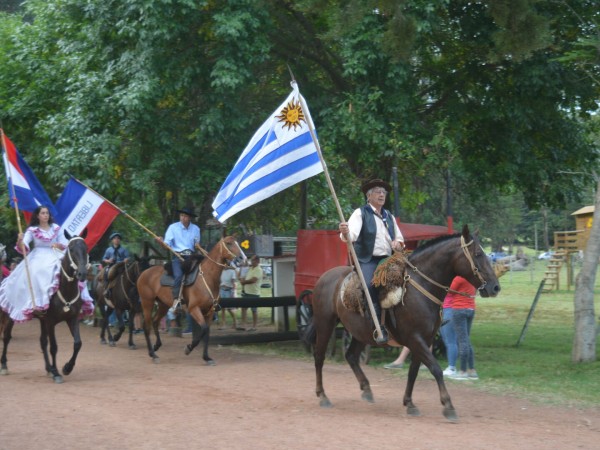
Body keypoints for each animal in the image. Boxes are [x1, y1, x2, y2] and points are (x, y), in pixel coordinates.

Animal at [0, 232, 90, 384]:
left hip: (42, 320)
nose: (82, 274)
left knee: (42, 342)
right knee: (6, 337)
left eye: (86, 248)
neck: (65, 289)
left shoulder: (72, 318)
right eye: (71, 249)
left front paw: (67, 368)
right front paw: (57, 373)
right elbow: (54, 347)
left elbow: (78, 343)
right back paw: (4, 366)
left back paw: (48, 369)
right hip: (10, 314)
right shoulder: (51, 321)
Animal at [137, 236, 245, 366]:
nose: (243, 258)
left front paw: (207, 357)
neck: (207, 277)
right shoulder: (194, 309)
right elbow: (203, 330)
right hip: (147, 302)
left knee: (155, 322)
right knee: (146, 326)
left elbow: (206, 333)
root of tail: (144, 273)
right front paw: (188, 348)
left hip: (163, 305)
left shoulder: (209, 312)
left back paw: (156, 346)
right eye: (229, 243)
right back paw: (153, 354)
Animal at [304, 225, 502, 422]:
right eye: (477, 253)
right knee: (319, 357)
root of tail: (325, 277)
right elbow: (435, 368)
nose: (495, 287)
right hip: (325, 324)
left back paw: (366, 389)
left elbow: (413, 371)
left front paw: (409, 403)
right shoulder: (415, 339)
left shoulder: (425, 340)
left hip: (362, 333)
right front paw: (448, 405)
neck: (421, 287)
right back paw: (323, 396)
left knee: (351, 356)